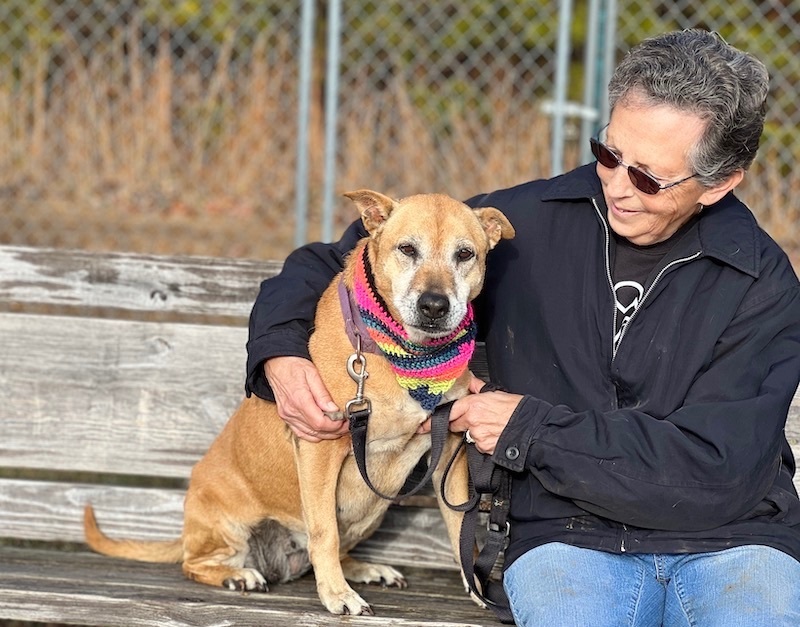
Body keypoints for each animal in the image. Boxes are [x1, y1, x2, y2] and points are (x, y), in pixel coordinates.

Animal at [84, 189, 516, 616]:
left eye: (465, 254)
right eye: (407, 248)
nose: (434, 306)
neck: (406, 354)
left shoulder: (449, 451)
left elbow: (460, 528)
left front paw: (475, 586)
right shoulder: (319, 447)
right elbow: (323, 531)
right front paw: (337, 596)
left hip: (370, 512)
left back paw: (365, 569)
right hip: (227, 527)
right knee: (197, 564)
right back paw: (237, 575)